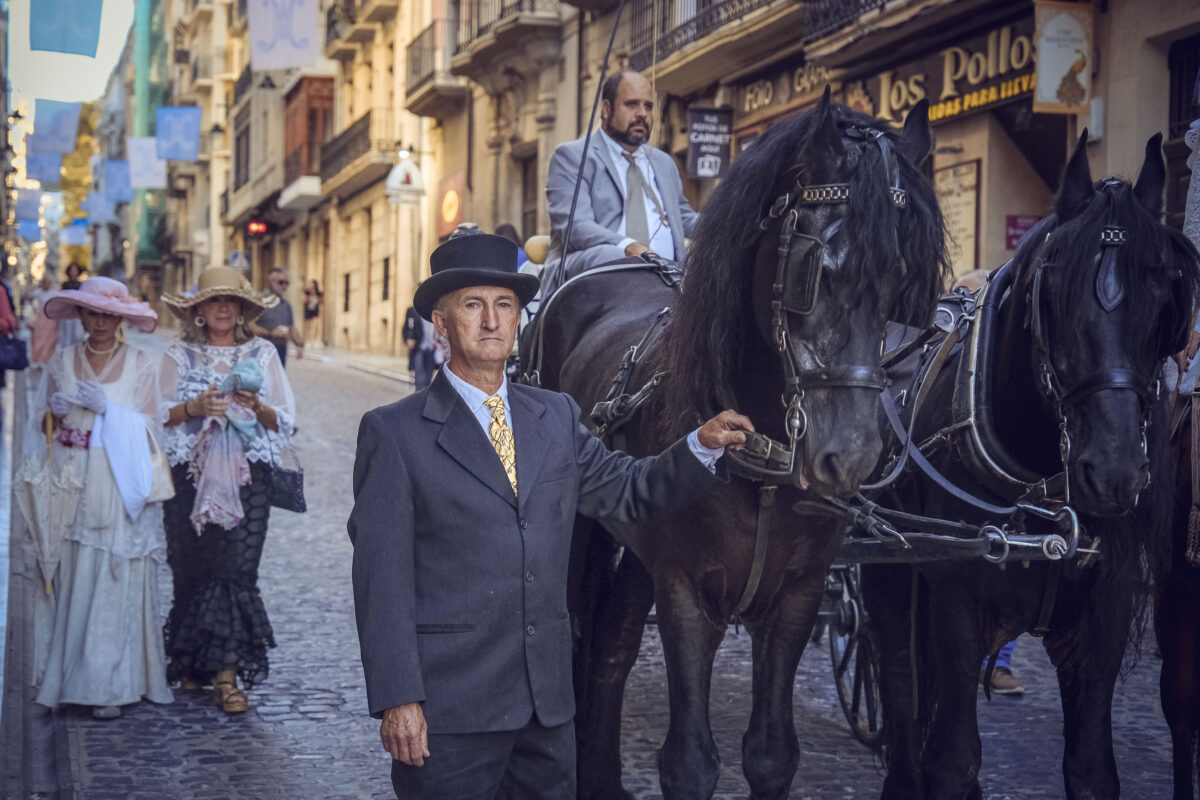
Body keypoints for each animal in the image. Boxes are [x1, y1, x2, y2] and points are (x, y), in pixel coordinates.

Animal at [523, 90, 945, 796]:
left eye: (903, 282)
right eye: (813, 269)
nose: (851, 455)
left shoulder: (799, 592)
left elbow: (771, 753)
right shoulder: (685, 589)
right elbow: (690, 763)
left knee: (611, 642)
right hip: (585, 527)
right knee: (582, 629)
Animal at [868, 133, 1195, 800]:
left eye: (1164, 291)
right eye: (1055, 292)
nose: (1113, 473)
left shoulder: (1102, 619)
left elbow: (1092, 770)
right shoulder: (954, 604)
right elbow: (952, 760)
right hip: (889, 577)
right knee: (903, 695)